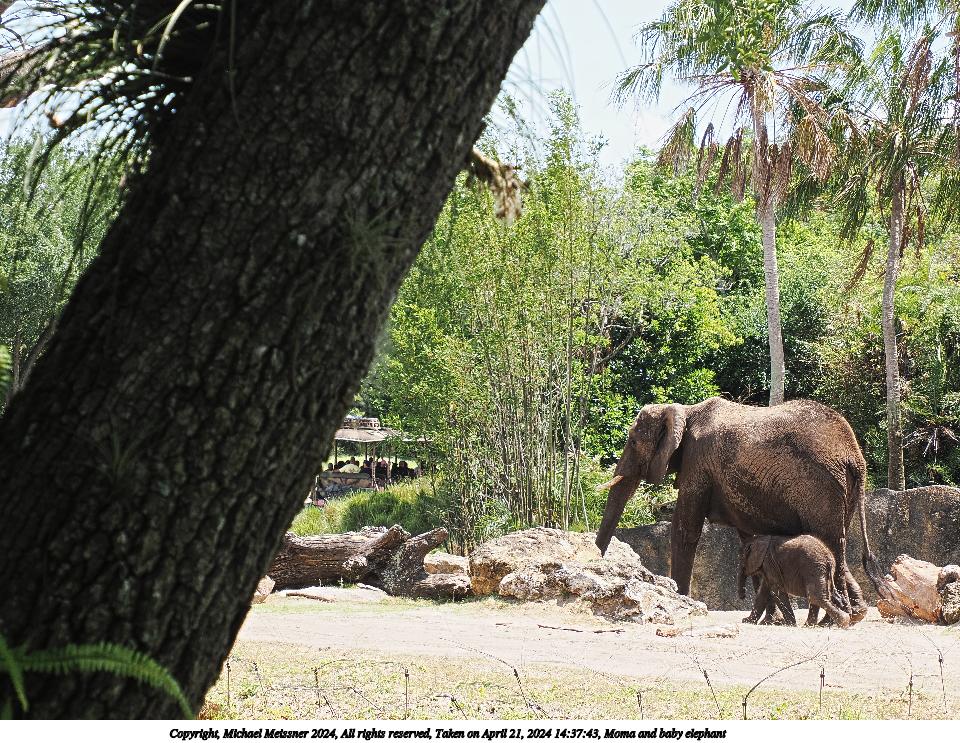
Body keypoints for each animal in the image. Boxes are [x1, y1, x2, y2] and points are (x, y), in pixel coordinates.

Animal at [595, 397, 888, 623]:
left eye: (633, 442)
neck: (685, 410)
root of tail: (855, 456)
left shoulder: (697, 463)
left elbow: (685, 530)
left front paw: (682, 601)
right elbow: (749, 539)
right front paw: (771, 620)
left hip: (822, 486)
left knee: (830, 540)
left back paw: (832, 621)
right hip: (842, 490)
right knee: (837, 543)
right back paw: (854, 615)